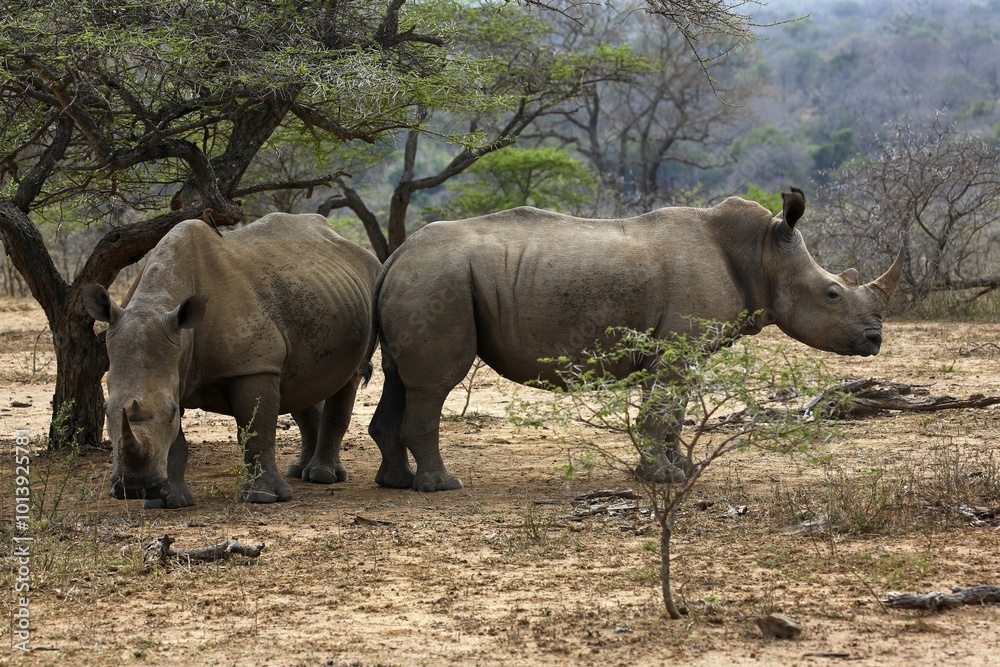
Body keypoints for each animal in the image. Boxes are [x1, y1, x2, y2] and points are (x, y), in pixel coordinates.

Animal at [83, 212, 380, 508]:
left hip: (369, 289)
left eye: (171, 412)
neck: (156, 303)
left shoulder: (254, 366)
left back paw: (322, 477)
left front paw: (262, 498)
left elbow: (256, 432)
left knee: (347, 380)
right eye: (106, 411)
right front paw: (168, 502)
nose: (135, 488)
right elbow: (176, 443)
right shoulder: (174, 367)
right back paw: (298, 471)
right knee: (302, 385)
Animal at [366, 187, 903, 492]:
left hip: (425, 278)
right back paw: (442, 487)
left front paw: (676, 472)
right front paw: (662, 478)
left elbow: (672, 413)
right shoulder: (678, 348)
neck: (762, 255)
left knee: (399, 379)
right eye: (832, 293)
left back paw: (396, 484)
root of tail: (395, 256)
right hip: (439, 278)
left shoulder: (678, 350)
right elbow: (661, 413)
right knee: (434, 384)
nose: (875, 339)